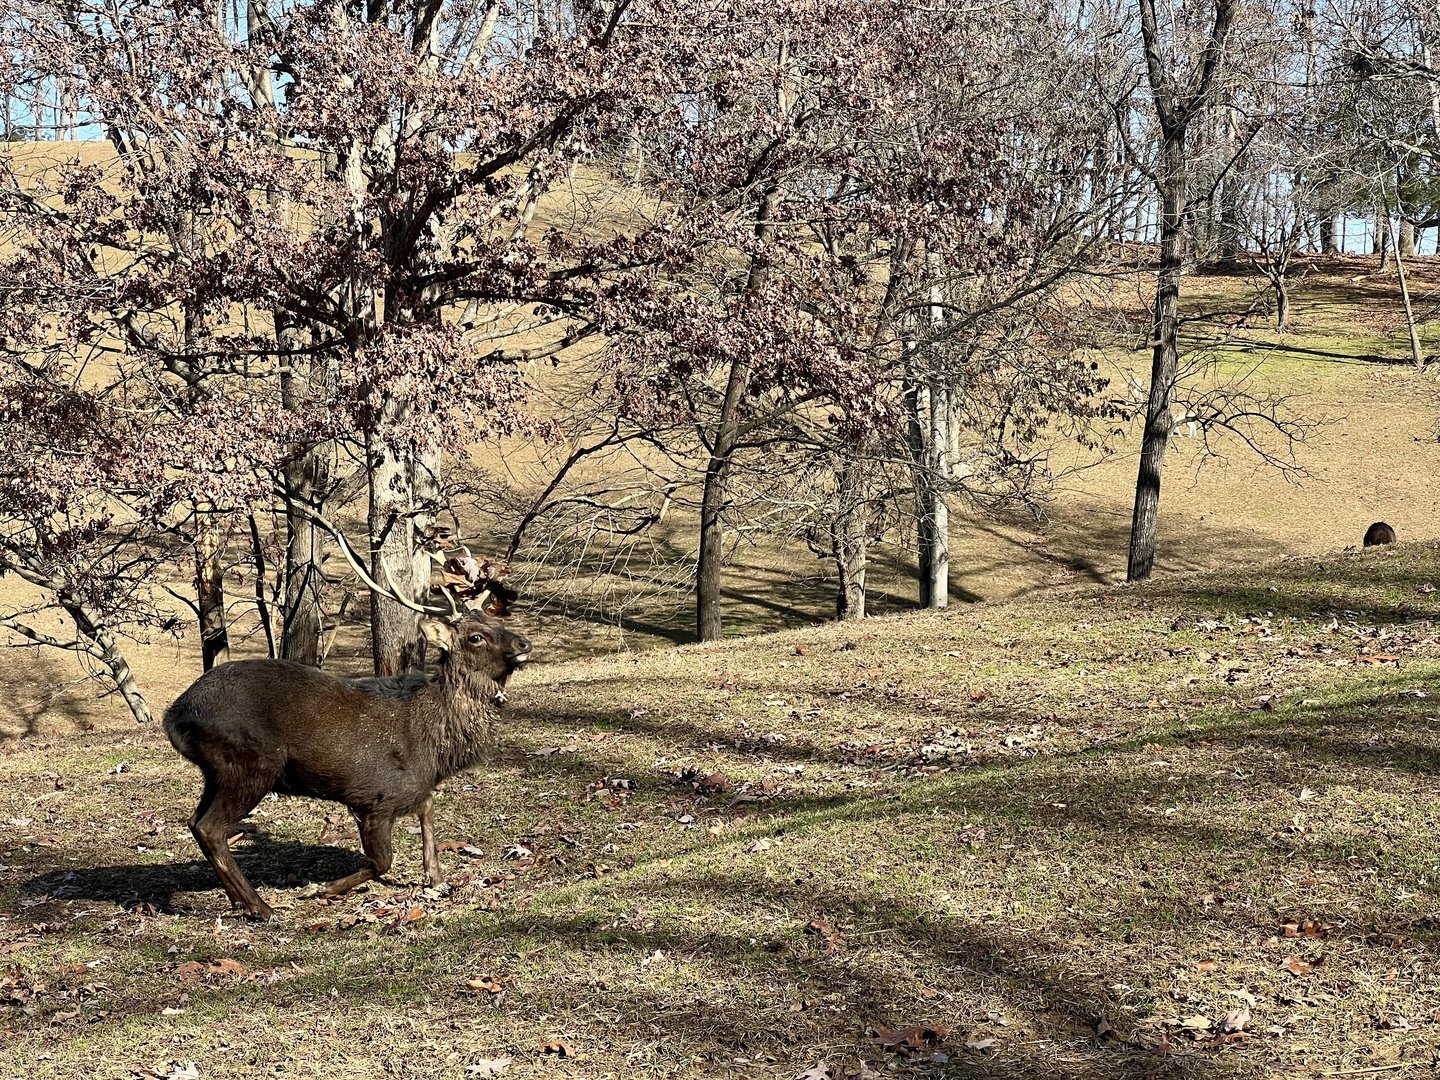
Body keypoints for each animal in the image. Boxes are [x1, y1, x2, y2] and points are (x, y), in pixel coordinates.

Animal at [163, 536, 530, 920]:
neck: (435, 749)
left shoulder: (413, 789)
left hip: (217, 773)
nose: (524, 644)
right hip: (249, 765)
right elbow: (383, 861)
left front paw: (436, 877)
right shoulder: (373, 796)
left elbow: (428, 810)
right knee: (211, 828)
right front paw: (318, 889)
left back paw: (240, 901)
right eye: (476, 637)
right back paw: (261, 907)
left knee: (195, 822)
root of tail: (174, 715)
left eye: (497, 622)